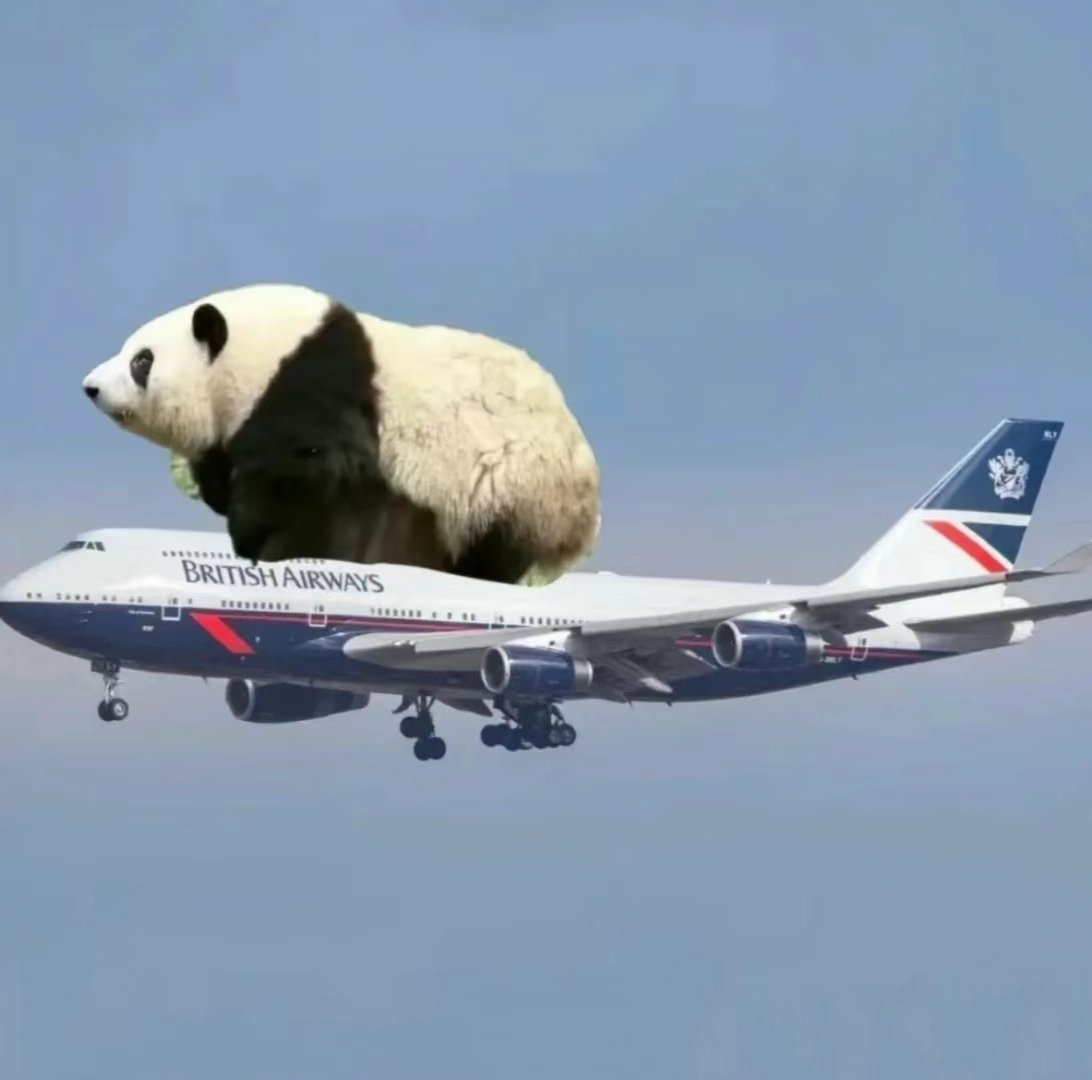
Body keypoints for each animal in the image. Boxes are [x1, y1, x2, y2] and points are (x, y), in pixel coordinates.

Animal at [81, 283, 601, 586]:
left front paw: (265, 544)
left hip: (506, 488)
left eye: (142, 360)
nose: (91, 386)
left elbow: (319, 476)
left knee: (489, 554)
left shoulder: (312, 382)